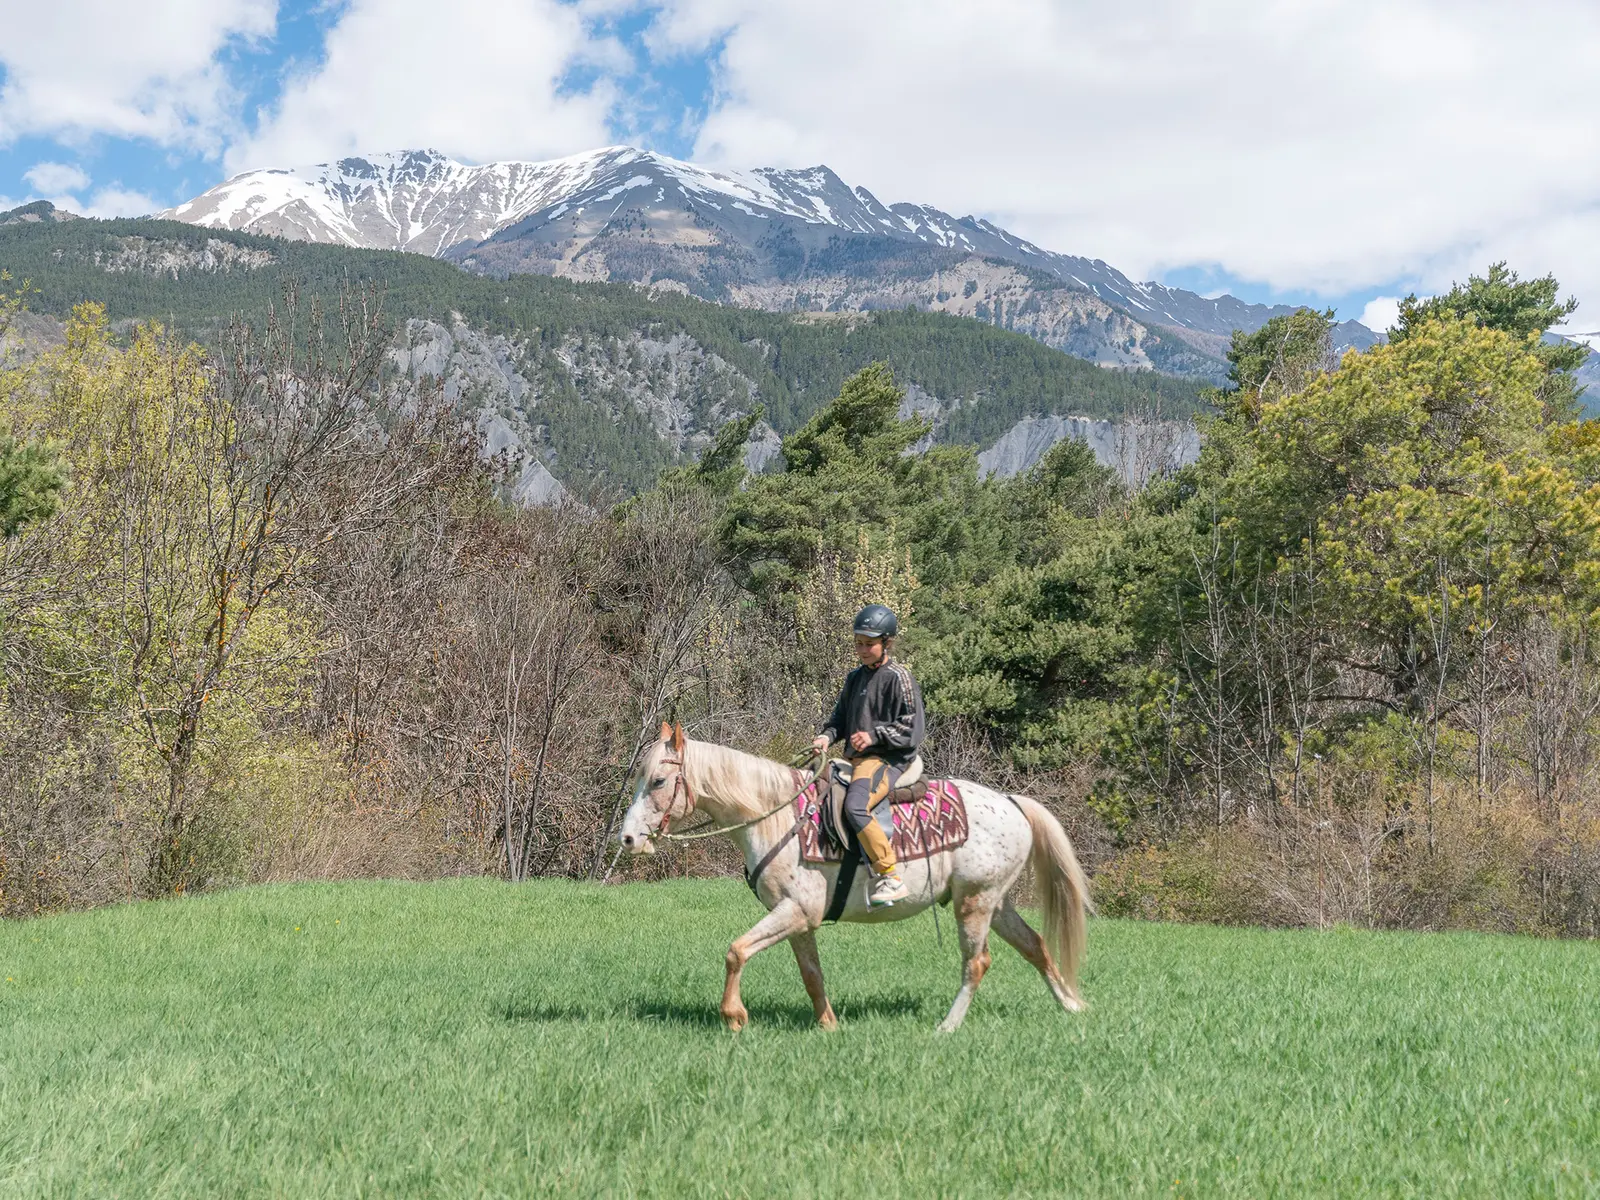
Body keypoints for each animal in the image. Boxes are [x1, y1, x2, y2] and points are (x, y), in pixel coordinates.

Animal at [619, 722, 1091, 1033]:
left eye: (658, 780)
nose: (628, 839)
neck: (776, 817)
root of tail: (1012, 802)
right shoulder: (799, 920)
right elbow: (812, 976)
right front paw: (829, 1025)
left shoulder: (795, 911)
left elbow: (736, 951)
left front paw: (734, 1017)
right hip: (995, 902)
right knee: (1035, 946)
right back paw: (1071, 1004)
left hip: (974, 903)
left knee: (976, 964)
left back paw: (946, 1027)